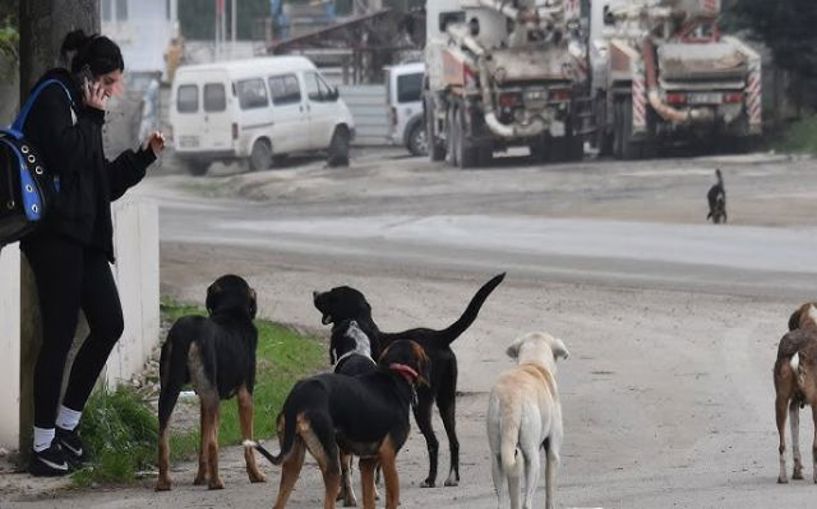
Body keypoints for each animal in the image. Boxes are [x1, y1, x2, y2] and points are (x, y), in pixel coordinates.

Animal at [247, 338, 428, 508]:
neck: (396, 375)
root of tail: (297, 397)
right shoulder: (388, 455)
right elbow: (392, 498)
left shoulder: (367, 462)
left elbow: (369, 499)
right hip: (332, 463)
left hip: (293, 461)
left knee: (279, 502)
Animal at [312, 272, 504, 486]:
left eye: (333, 295)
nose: (315, 293)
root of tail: (439, 337)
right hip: (447, 400)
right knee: (454, 441)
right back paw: (452, 477)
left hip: (422, 404)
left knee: (434, 442)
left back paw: (430, 479)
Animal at [484, 332, 568, 506]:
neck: (533, 363)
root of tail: (512, 399)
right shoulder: (553, 452)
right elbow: (550, 493)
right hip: (532, 458)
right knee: (526, 502)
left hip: (498, 457)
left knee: (502, 500)